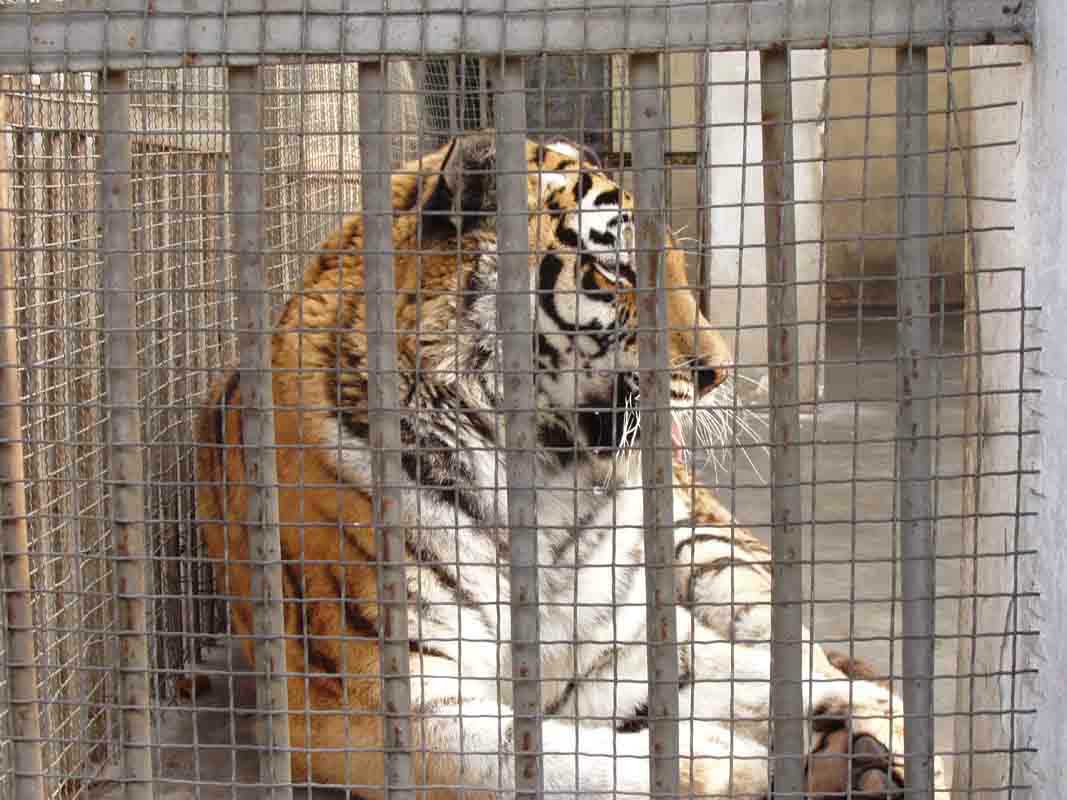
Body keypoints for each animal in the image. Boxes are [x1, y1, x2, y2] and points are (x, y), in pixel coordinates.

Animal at [195, 130, 945, 798]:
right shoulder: (376, 700)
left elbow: (743, 675)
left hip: (709, 555)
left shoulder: (608, 646)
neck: (545, 484)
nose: (718, 372)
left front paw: (872, 723)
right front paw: (742, 762)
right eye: (615, 271)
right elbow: (559, 761)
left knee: (787, 642)